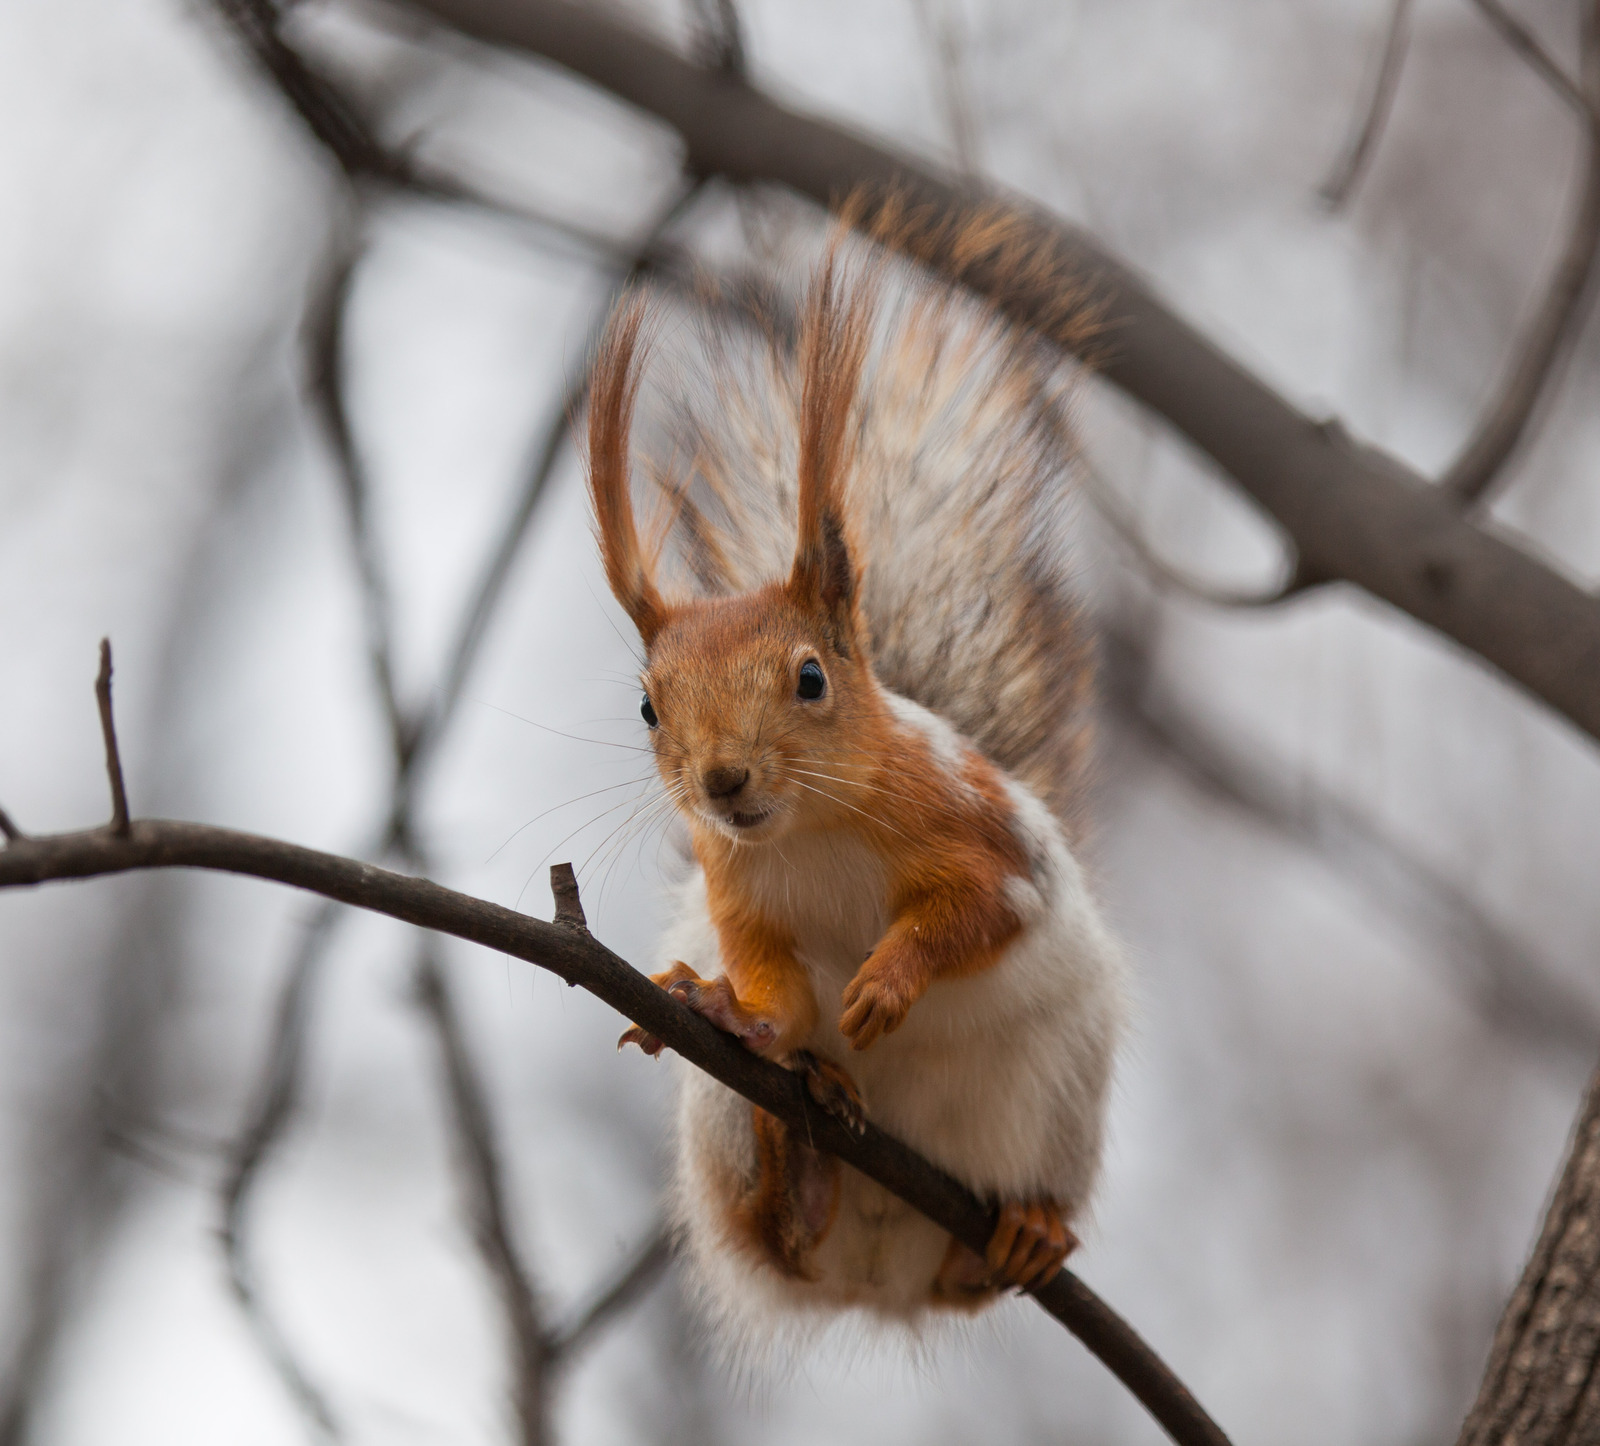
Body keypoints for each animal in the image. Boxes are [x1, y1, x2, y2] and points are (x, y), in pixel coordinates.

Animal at [588, 235, 1126, 1330]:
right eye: (648, 708)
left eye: (810, 678)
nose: (723, 781)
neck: (807, 828)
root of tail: (878, 1279)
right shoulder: (738, 892)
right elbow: (779, 996)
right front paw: (731, 1011)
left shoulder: (984, 835)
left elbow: (977, 911)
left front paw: (887, 981)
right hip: (726, 1128)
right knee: (782, 1240)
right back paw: (805, 1158)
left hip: (1059, 1094)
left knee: (976, 1274)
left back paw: (1022, 1230)